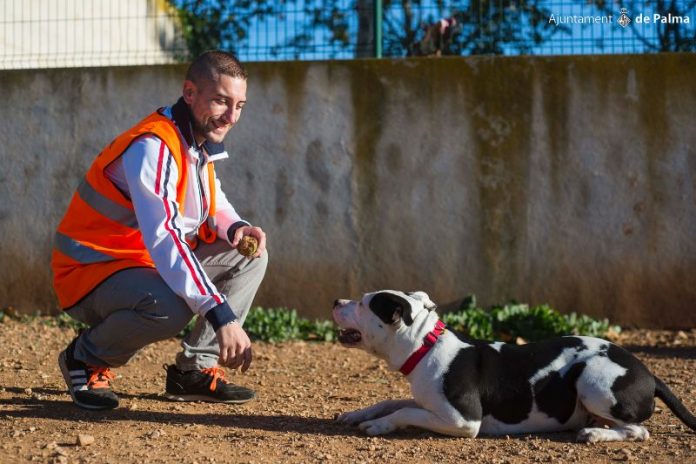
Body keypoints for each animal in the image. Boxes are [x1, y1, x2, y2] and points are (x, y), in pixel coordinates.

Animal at [332, 290, 696, 442]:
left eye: (363, 304)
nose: (336, 301)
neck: (425, 345)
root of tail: (649, 374)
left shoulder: (463, 420)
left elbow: (405, 411)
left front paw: (379, 425)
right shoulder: (429, 402)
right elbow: (393, 401)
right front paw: (359, 414)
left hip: (592, 379)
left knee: (638, 431)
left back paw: (594, 433)